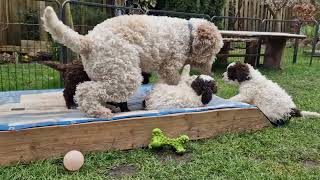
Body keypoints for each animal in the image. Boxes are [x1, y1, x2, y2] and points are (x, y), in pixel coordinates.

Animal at [42, 6, 222, 117]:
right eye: (213, 52)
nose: (210, 69)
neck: (188, 32)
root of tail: (87, 41)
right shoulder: (169, 66)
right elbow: (175, 80)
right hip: (124, 75)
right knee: (85, 91)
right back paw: (99, 112)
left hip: (103, 72)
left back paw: (106, 107)